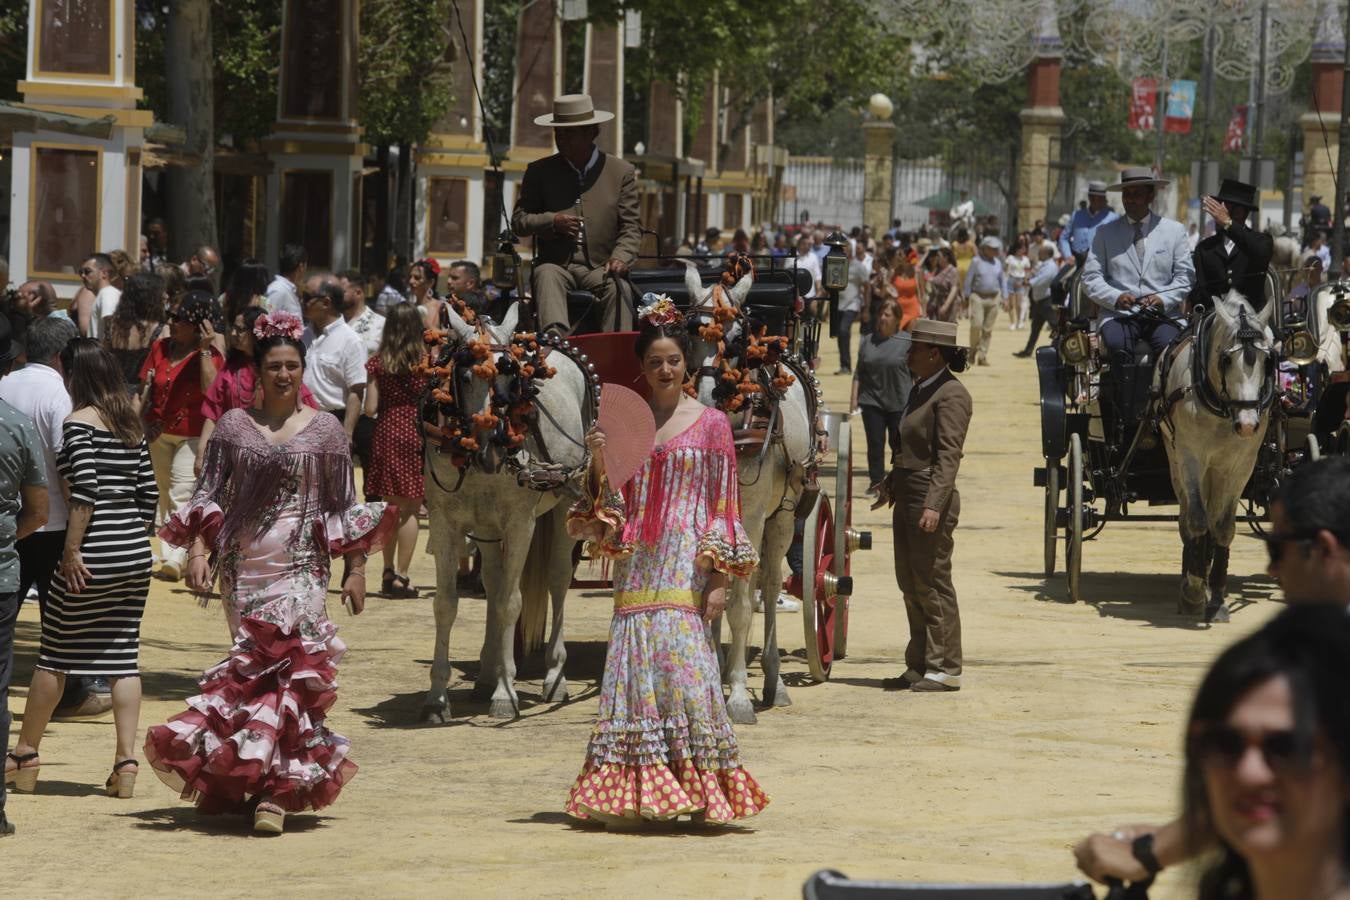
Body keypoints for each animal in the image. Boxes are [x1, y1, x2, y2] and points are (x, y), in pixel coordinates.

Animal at [421, 306, 591, 723]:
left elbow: (510, 603)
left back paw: (554, 677)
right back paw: (486, 675)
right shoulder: (444, 521)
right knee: (493, 581)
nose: (492, 448)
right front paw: (437, 698)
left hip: (563, 503)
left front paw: (505, 693)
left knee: (558, 579)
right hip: (487, 529)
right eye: (465, 376)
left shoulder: (520, 523)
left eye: (511, 377)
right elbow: (446, 604)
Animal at [685, 261, 810, 723]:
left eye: (738, 339)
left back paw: (775, 682)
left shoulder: (754, 516)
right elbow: (707, 590)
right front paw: (711, 676)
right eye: (687, 332)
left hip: (783, 516)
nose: (705, 398)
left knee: (769, 585)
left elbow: (740, 605)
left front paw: (738, 695)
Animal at [1155, 292, 1269, 623]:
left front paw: (1217, 598)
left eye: (1267, 359)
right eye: (1227, 359)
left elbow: (1223, 527)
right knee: (1188, 514)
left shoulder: (1241, 465)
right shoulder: (1191, 457)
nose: (1247, 425)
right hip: (1176, 458)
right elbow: (1196, 520)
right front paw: (1193, 591)